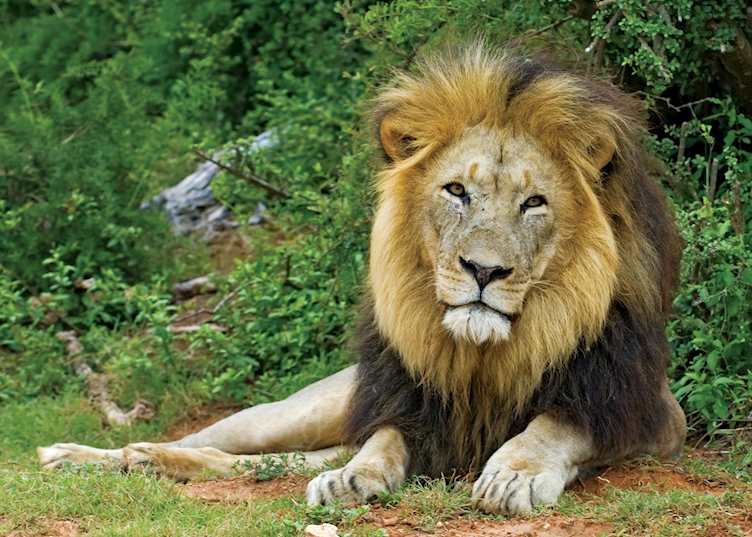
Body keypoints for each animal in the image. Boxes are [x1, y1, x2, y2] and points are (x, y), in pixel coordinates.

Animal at [38, 43, 687, 515]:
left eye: (534, 203)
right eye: (457, 191)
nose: (483, 270)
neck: (486, 357)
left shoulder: (650, 415)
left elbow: (556, 424)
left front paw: (513, 473)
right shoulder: (403, 406)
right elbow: (383, 440)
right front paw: (354, 477)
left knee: (255, 462)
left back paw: (145, 461)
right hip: (296, 410)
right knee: (217, 440)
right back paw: (79, 455)